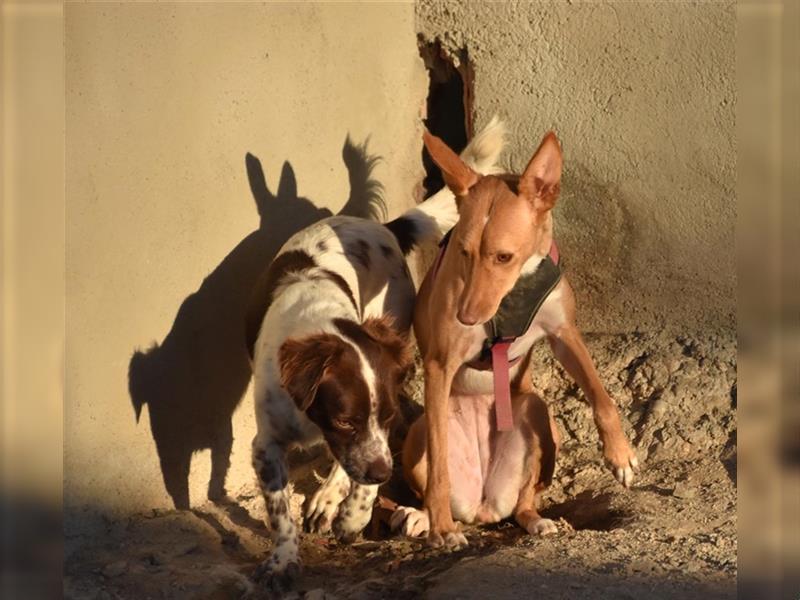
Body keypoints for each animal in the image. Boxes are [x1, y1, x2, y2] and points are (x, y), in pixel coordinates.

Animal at [247, 118, 504, 584]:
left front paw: (352, 516)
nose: (385, 472)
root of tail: (384, 227)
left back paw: (330, 500)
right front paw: (283, 561)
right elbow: (279, 513)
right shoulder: (267, 444)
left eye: (387, 417)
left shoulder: (378, 434)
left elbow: (362, 474)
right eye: (344, 420)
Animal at [392, 130, 636, 548]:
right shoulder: (440, 363)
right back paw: (423, 517)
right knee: (431, 477)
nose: (466, 317)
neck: (513, 292)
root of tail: (483, 506)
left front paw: (620, 455)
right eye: (463, 250)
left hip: (537, 411)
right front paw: (442, 528)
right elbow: (439, 469)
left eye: (503, 256)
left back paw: (536, 520)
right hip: (421, 427)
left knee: (525, 501)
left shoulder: (564, 334)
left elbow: (601, 395)